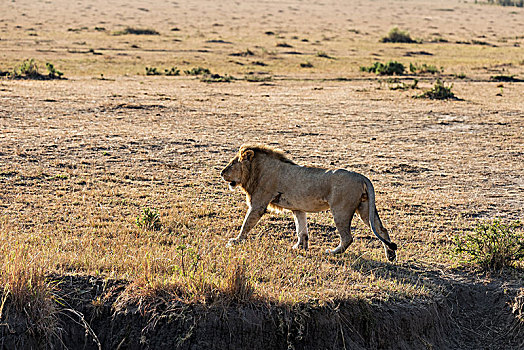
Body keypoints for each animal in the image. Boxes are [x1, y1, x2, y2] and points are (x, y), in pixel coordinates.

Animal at [221, 144, 398, 262]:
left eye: (232, 163)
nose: (222, 173)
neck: (256, 170)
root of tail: (363, 177)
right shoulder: (297, 208)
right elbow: (301, 229)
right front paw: (300, 247)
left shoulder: (258, 203)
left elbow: (247, 223)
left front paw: (235, 241)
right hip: (365, 208)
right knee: (382, 229)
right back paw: (391, 255)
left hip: (340, 210)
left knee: (347, 238)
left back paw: (332, 252)